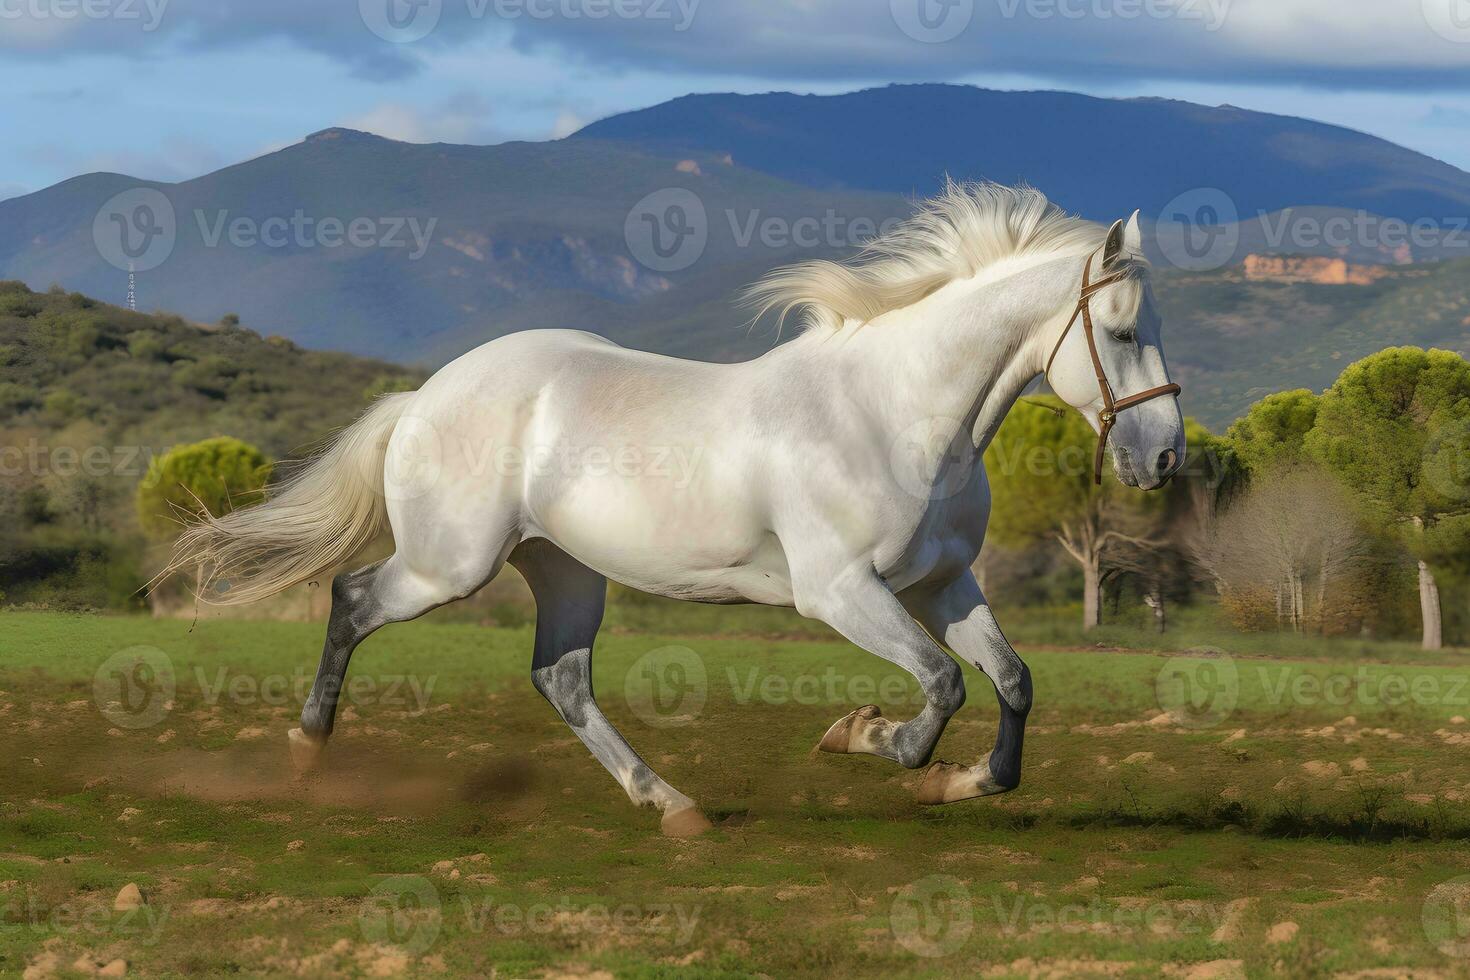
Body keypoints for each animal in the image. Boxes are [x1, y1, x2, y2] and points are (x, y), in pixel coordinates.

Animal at [166, 182, 1187, 834]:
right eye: (1121, 330)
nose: (1165, 457)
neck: (893, 413)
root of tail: (424, 396)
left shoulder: (941, 584)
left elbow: (1011, 682)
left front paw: (965, 783)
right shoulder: (840, 592)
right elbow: (942, 686)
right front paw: (861, 736)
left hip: (565, 570)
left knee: (560, 678)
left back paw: (672, 807)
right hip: (446, 566)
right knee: (351, 600)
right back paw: (307, 753)